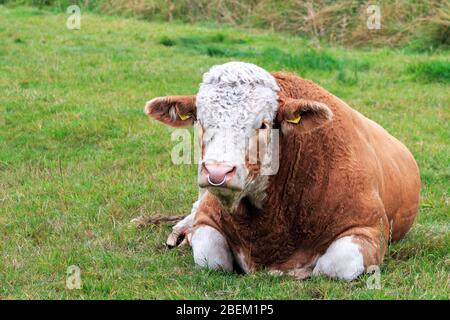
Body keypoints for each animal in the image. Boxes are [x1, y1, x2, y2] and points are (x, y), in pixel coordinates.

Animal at [143, 61, 418, 282]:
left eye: (264, 124)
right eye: (200, 120)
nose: (218, 172)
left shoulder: (368, 231)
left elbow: (332, 266)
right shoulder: (207, 218)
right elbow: (212, 259)